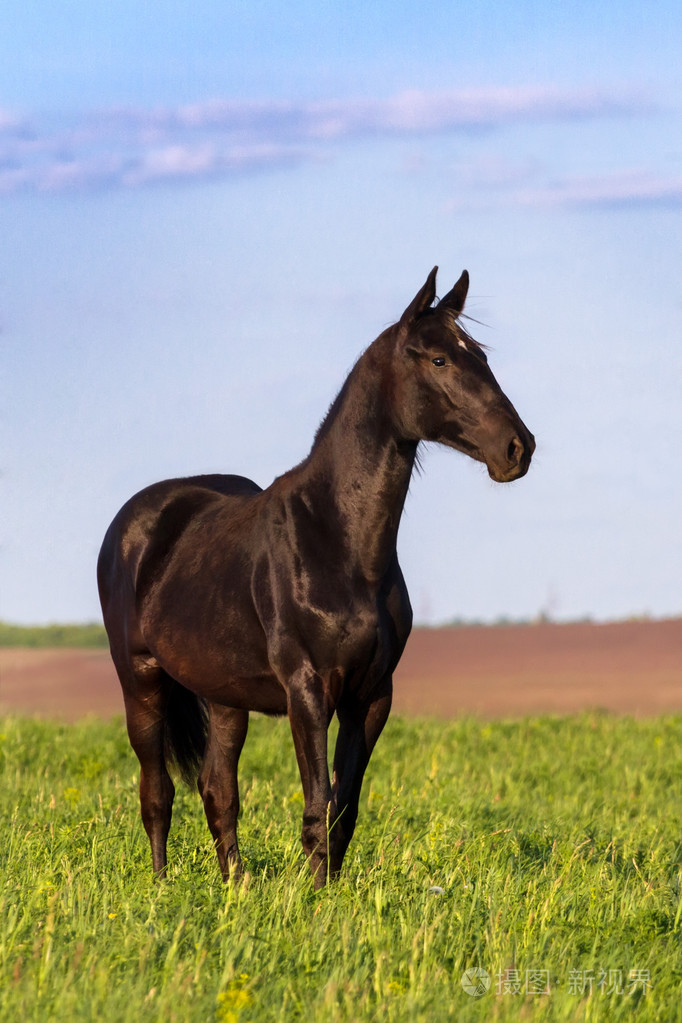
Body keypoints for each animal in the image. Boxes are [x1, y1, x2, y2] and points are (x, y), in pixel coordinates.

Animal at [97, 265, 531, 887]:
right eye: (439, 359)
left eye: (483, 357)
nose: (518, 448)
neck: (340, 544)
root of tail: (137, 520)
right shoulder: (307, 690)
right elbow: (317, 801)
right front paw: (312, 895)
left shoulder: (371, 697)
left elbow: (344, 805)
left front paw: (329, 892)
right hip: (141, 681)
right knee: (157, 793)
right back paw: (159, 888)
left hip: (224, 695)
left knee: (217, 789)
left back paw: (236, 887)